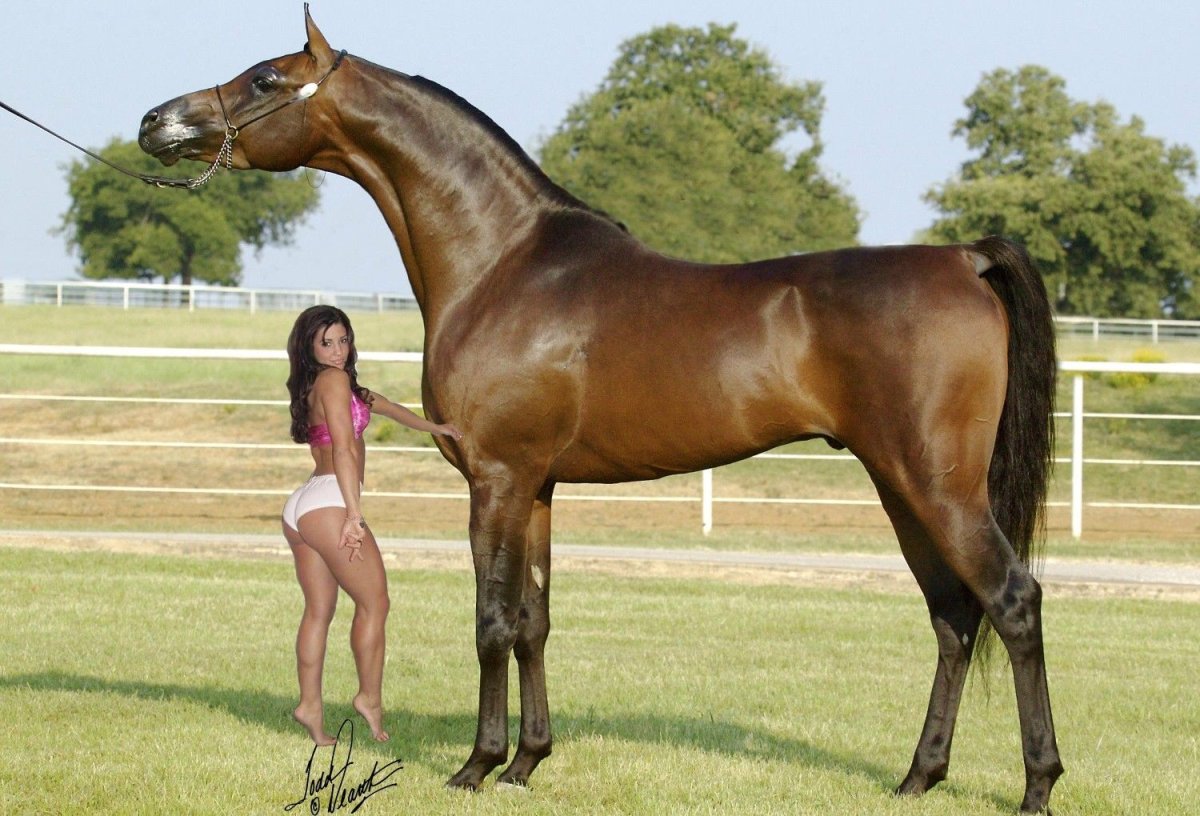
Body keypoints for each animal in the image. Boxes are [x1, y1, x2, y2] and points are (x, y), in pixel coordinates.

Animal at [138, 8, 1062, 812]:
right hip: (900, 486)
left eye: (264, 77)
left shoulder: (496, 479)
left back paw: (1036, 786)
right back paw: (918, 777)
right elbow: (536, 621)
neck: (505, 261)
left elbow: (493, 621)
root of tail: (964, 259)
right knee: (953, 617)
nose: (156, 121)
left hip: (938, 486)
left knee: (1012, 601)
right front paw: (528, 762)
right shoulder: (539, 488)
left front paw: (476, 766)